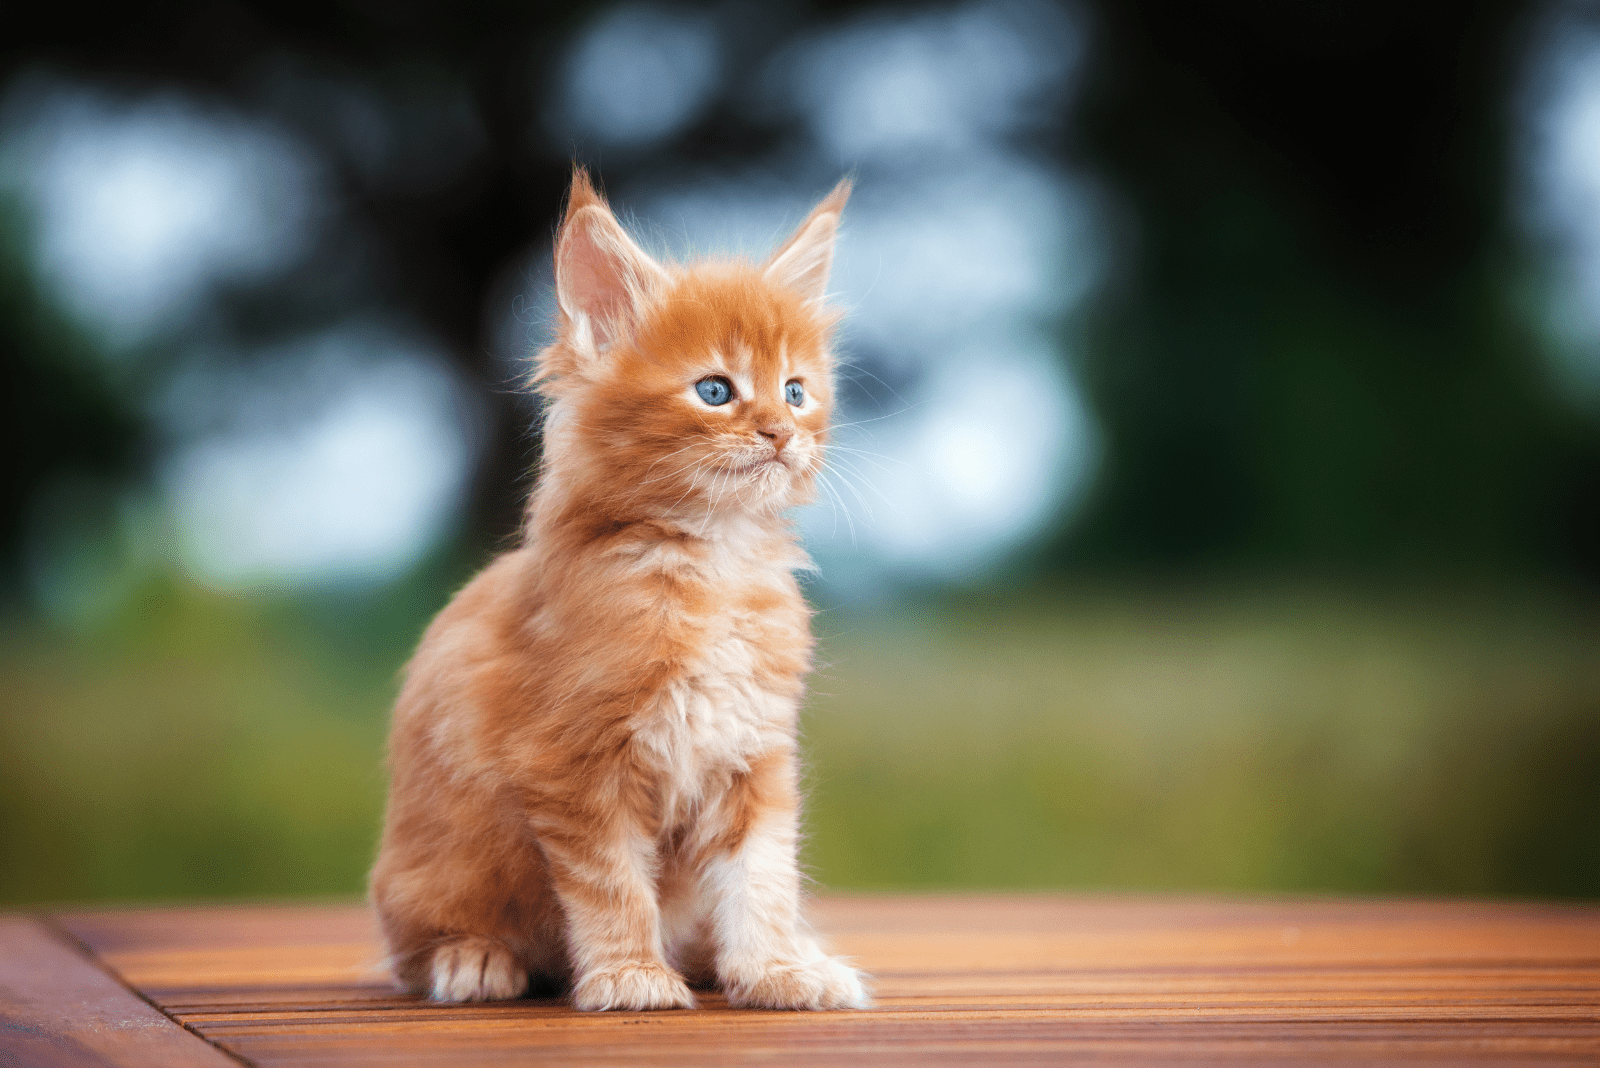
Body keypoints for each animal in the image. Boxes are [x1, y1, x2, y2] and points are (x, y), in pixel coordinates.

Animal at [368, 171, 870, 1016]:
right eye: (715, 390)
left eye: (797, 392)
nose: (781, 432)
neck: (711, 565)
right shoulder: (572, 765)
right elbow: (612, 886)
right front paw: (631, 975)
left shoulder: (754, 756)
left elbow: (761, 879)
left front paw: (775, 969)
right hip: (426, 873)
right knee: (414, 946)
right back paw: (473, 959)